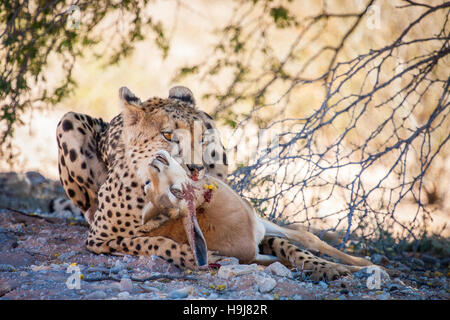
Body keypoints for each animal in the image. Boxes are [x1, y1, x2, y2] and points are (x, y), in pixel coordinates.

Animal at [55, 85, 380, 280]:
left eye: (201, 137)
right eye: (168, 135)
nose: (196, 168)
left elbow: (291, 246)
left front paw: (327, 266)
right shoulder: (99, 239)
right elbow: (153, 242)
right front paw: (196, 255)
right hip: (67, 121)